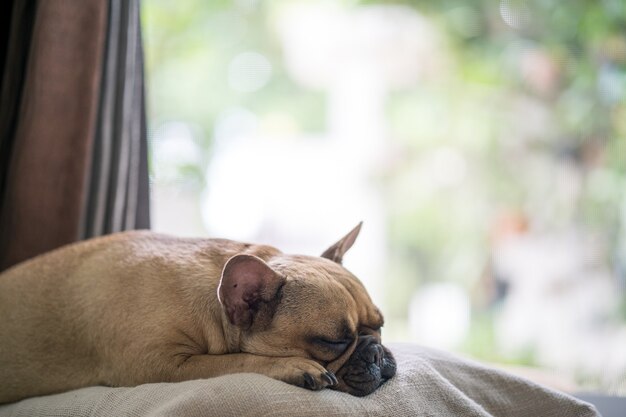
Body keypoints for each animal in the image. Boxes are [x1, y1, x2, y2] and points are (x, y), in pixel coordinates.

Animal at [0, 224, 394, 404]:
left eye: (380, 325)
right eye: (333, 341)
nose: (377, 352)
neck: (216, 308)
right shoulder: (158, 365)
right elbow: (233, 361)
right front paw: (296, 367)